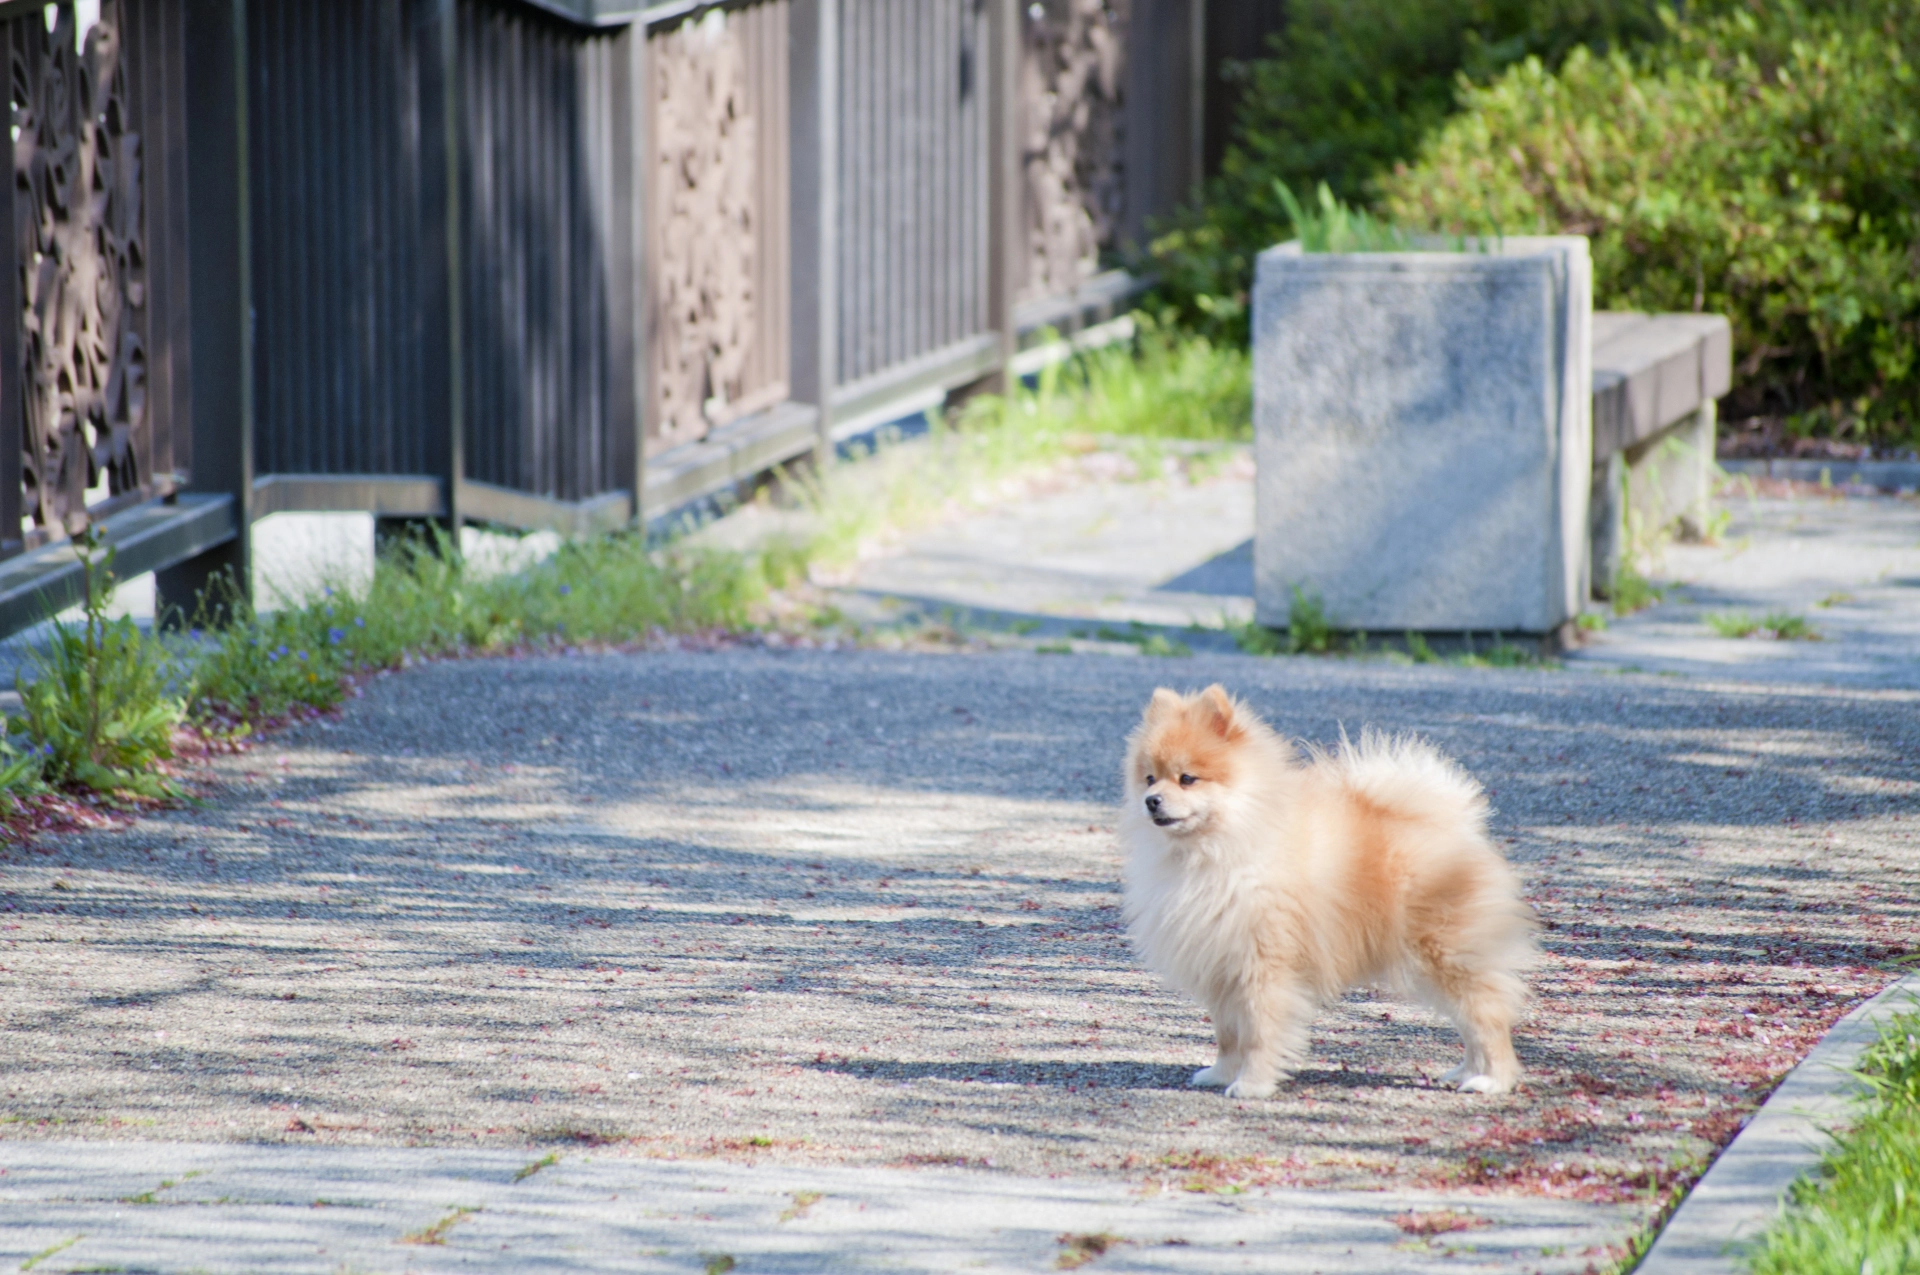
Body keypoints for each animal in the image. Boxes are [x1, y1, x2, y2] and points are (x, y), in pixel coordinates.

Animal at [1121, 687, 1528, 1098]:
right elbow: (1228, 1034)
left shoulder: (1263, 964)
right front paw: (1221, 1073)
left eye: (1187, 778)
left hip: (1447, 955)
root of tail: (1456, 825)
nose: (1151, 800)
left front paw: (1252, 1083)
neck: (1213, 849)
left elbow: (1258, 1032)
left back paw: (1491, 1079)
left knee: (1486, 1016)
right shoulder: (1220, 963)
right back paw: (1465, 1073)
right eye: (1150, 778)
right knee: (1471, 1022)